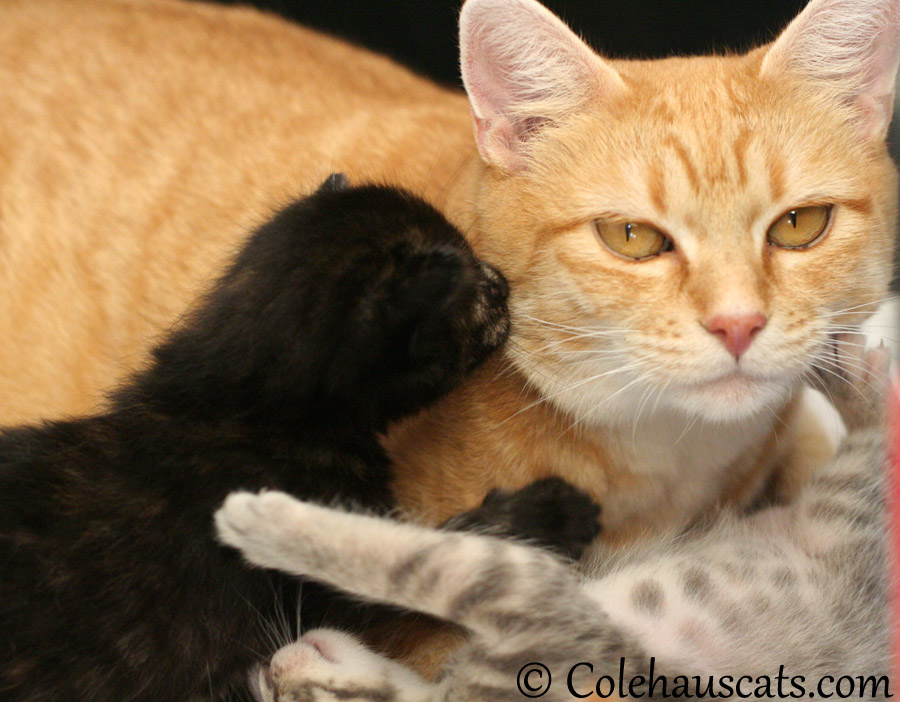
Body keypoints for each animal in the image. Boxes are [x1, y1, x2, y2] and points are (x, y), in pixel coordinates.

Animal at [214, 336, 888, 702]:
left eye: (284, 698)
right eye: (267, 694)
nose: (271, 668)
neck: (440, 690)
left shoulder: (528, 607)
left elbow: (410, 559)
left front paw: (261, 522)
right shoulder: (537, 605)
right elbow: (429, 561)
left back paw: (851, 373)